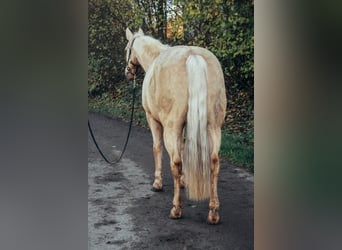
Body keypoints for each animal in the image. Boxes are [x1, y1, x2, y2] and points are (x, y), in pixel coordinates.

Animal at [124, 27, 226, 225]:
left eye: (127, 49)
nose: (128, 72)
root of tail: (192, 55)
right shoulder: (185, 126)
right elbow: (184, 146)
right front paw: (185, 181)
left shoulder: (153, 119)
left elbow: (157, 148)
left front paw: (157, 183)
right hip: (214, 128)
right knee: (214, 162)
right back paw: (213, 213)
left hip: (171, 128)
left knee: (176, 162)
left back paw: (176, 209)